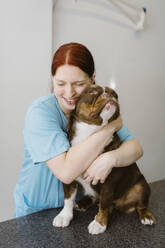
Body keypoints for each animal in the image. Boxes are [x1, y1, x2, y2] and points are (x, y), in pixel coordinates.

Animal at [53, 84, 156, 233]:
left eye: (115, 94)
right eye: (92, 91)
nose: (111, 94)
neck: (90, 134)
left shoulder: (108, 180)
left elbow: (105, 203)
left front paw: (99, 223)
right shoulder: (68, 177)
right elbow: (68, 198)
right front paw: (64, 216)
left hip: (141, 185)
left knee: (141, 205)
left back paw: (146, 216)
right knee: (95, 199)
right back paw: (83, 203)